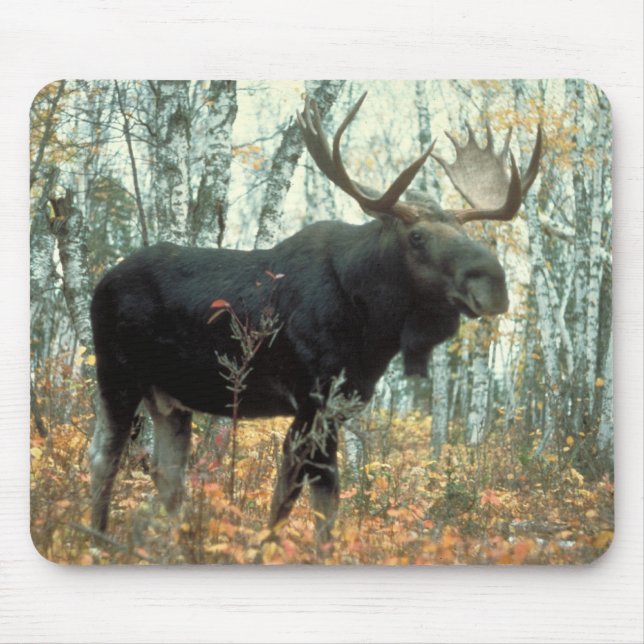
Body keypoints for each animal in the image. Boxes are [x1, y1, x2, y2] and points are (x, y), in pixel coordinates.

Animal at [89, 92, 541, 548]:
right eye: (417, 237)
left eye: (467, 235)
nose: (494, 282)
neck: (373, 326)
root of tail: (101, 282)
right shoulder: (313, 399)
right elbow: (308, 499)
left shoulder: (338, 405)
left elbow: (305, 499)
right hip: (117, 375)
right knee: (105, 456)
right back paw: (97, 536)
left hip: (169, 399)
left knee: (167, 475)